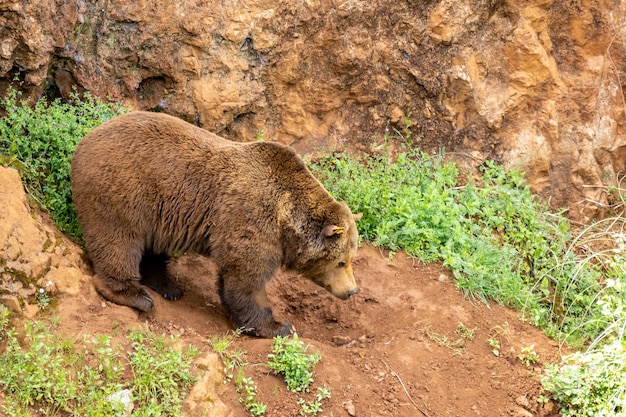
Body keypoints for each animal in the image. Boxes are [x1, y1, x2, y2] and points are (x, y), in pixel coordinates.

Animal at [70, 111, 358, 338]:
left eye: (351, 259)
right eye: (341, 262)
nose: (353, 290)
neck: (285, 221)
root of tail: (86, 138)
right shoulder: (251, 220)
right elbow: (246, 280)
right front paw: (276, 326)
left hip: (155, 211)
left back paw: (169, 287)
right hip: (123, 191)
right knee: (118, 241)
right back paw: (135, 295)